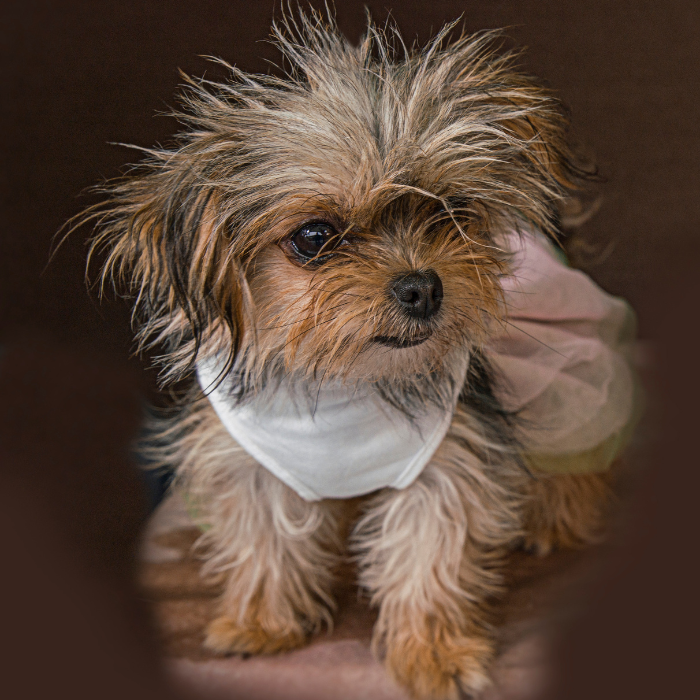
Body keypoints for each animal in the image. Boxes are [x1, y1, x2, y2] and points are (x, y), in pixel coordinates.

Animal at [79, 12, 636, 700]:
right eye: (315, 237)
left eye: (453, 211)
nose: (422, 287)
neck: (344, 383)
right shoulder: (255, 467)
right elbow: (266, 541)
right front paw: (262, 623)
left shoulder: (446, 460)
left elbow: (428, 558)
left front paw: (433, 654)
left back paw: (556, 519)